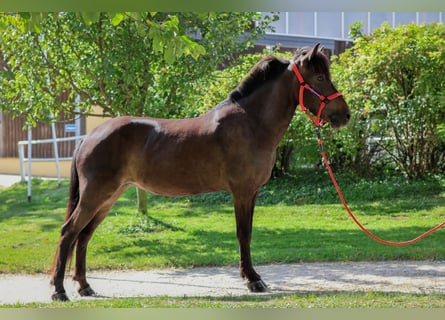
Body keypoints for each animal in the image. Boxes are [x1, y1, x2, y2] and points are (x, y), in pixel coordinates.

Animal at [50, 43, 348, 302]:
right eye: (320, 76)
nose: (345, 115)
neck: (250, 122)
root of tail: (89, 136)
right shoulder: (242, 192)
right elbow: (243, 234)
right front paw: (252, 280)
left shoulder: (252, 193)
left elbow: (248, 232)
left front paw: (252, 277)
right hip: (95, 196)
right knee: (69, 232)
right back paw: (59, 291)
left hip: (107, 198)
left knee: (84, 236)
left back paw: (85, 287)